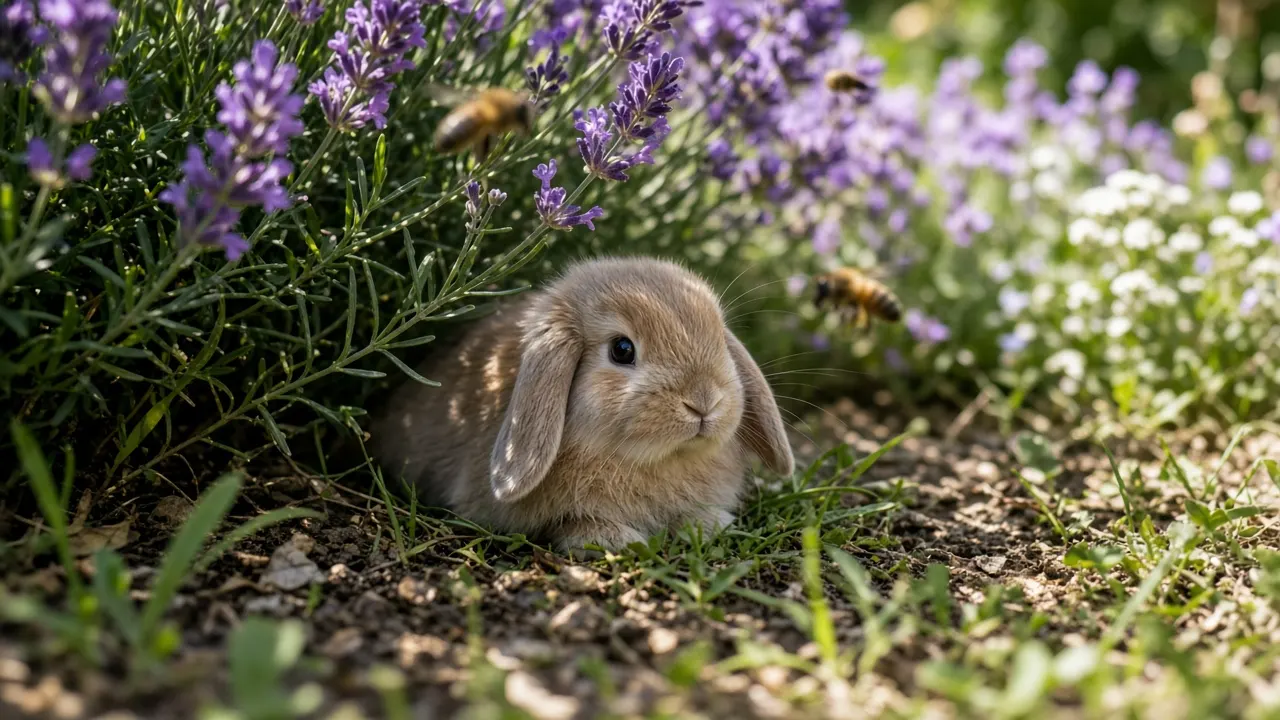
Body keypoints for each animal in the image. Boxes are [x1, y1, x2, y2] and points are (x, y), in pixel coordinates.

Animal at [370, 256, 794, 554]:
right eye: (622, 349)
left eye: (720, 340)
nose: (704, 401)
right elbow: (567, 523)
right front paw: (616, 540)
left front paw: (709, 523)